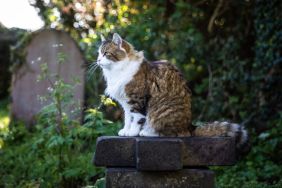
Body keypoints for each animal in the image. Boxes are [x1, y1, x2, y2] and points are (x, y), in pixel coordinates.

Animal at [96, 33, 248, 151]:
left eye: (106, 54)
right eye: (98, 53)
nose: (97, 60)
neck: (117, 71)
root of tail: (190, 126)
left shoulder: (137, 100)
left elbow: (136, 119)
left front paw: (132, 132)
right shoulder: (126, 104)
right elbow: (128, 119)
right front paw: (125, 131)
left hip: (160, 114)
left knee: (170, 133)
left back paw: (147, 132)